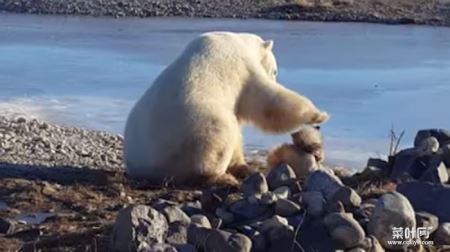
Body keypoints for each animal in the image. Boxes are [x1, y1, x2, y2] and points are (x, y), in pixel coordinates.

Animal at [123, 31, 326, 186]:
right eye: (275, 70)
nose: (275, 76)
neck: (239, 41)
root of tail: (146, 166)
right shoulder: (242, 68)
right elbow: (266, 100)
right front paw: (318, 115)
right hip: (195, 127)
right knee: (220, 135)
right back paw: (222, 177)